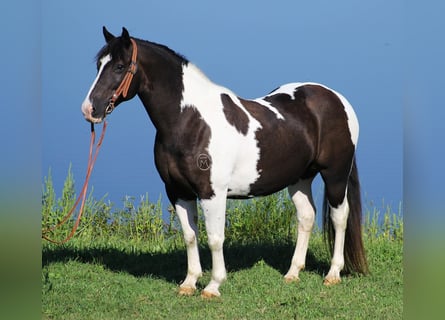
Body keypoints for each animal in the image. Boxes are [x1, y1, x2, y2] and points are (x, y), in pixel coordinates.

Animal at [80, 26, 368, 298]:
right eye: (98, 65)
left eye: (119, 66)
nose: (89, 109)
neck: (190, 121)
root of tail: (336, 98)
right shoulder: (178, 191)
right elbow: (190, 236)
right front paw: (189, 283)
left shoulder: (212, 193)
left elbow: (215, 238)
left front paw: (213, 286)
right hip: (299, 178)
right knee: (306, 216)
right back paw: (292, 273)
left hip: (335, 174)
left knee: (340, 217)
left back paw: (333, 274)